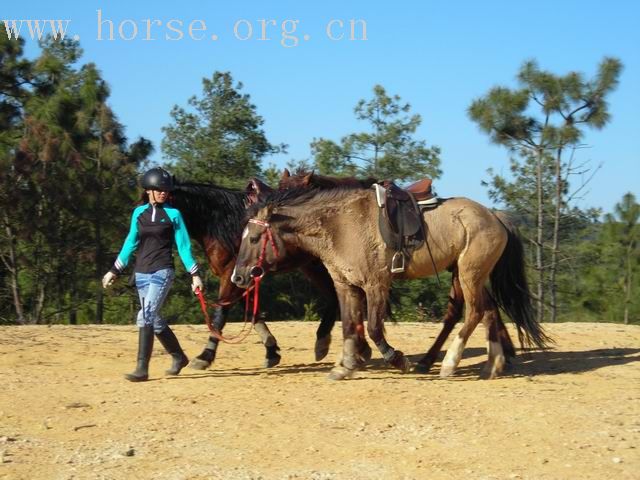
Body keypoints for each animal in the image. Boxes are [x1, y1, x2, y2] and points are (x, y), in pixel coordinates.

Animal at [230, 186, 552, 380]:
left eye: (254, 238)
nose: (238, 277)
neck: (340, 225)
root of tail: (494, 216)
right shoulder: (346, 287)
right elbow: (349, 327)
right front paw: (345, 366)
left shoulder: (376, 285)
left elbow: (373, 328)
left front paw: (396, 359)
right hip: (472, 275)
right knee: (487, 311)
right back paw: (493, 364)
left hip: (469, 274)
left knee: (474, 312)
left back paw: (450, 363)